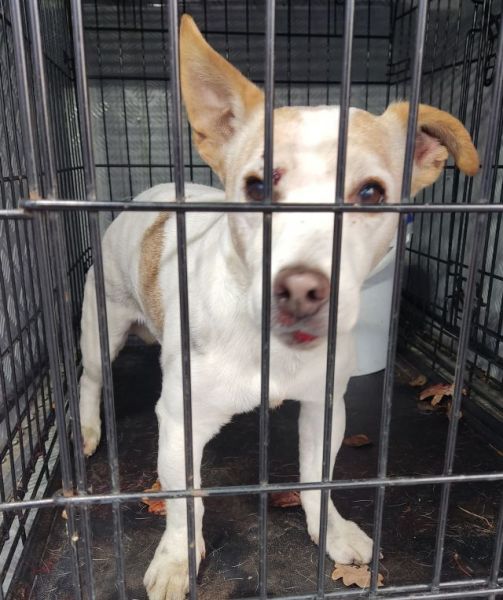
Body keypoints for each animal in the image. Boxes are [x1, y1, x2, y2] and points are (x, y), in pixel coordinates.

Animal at [78, 15, 479, 600]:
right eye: (257, 186)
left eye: (371, 194)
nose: (301, 289)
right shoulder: (179, 422)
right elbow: (182, 503)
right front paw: (177, 558)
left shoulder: (324, 408)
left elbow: (317, 479)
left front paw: (332, 530)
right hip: (100, 329)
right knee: (88, 380)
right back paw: (88, 428)